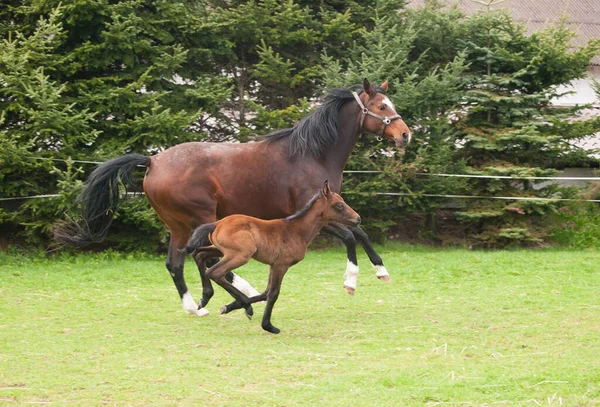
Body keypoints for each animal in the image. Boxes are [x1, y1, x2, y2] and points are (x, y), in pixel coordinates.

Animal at [183, 182, 360, 334]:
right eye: (339, 205)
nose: (357, 218)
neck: (297, 231)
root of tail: (217, 224)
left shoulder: (272, 265)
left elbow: (266, 292)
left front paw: (228, 307)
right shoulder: (281, 265)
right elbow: (274, 293)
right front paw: (268, 326)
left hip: (220, 250)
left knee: (199, 255)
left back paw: (205, 298)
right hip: (241, 255)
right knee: (214, 272)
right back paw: (246, 306)